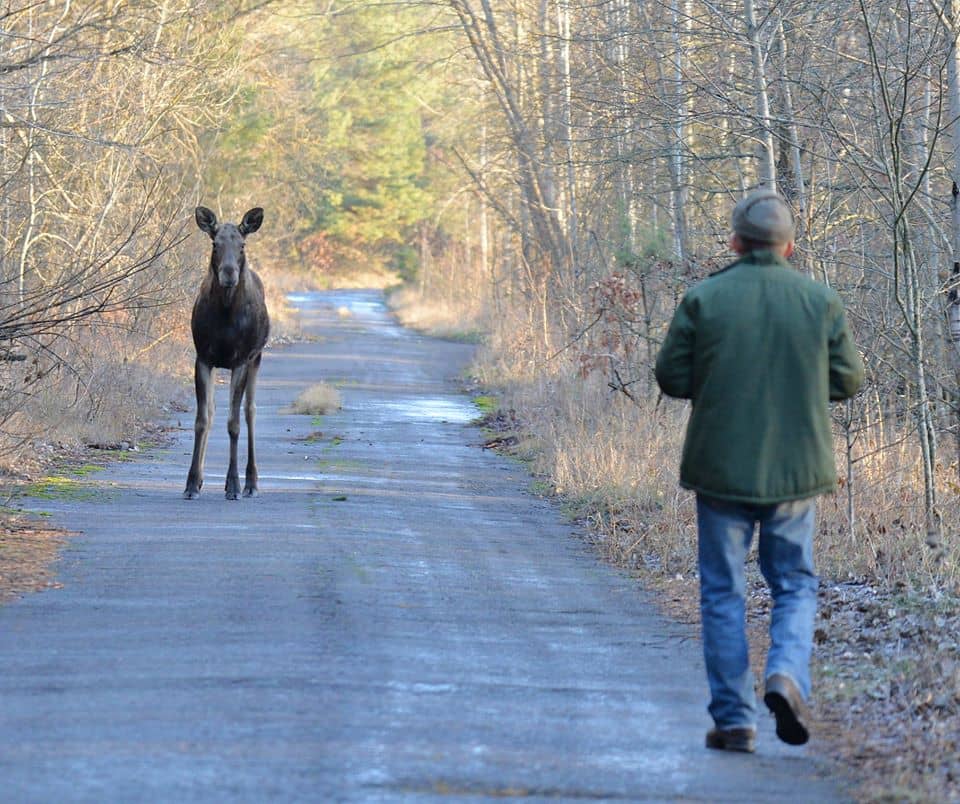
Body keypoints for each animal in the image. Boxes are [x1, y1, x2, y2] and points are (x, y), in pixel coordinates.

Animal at [184, 204, 270, 500]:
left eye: (242, 244)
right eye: (215, 243)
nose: (229, 273)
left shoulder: (241, 360)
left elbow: (234, 423)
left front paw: (232, 484)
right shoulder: (203, 358)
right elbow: (202, 419)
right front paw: (191, 483)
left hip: (257, 358)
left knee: (250, 411)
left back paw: (251, 482)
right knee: (213, 412)